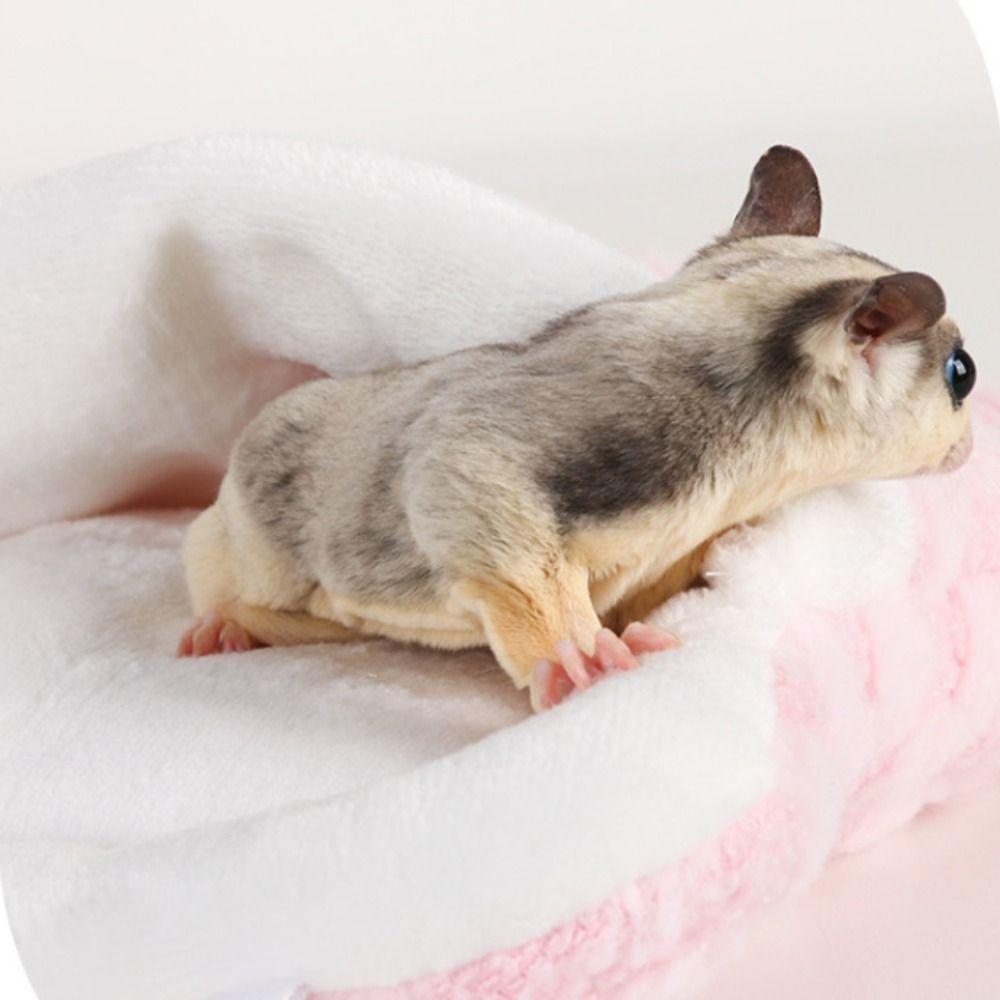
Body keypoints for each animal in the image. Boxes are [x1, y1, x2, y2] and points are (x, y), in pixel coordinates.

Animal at [178, 146, 977, 711]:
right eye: (962, 373)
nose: (972, 450)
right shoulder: (617, 427)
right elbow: (457, 462)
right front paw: (580, 659)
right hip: (246, 541)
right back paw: (222, 623)